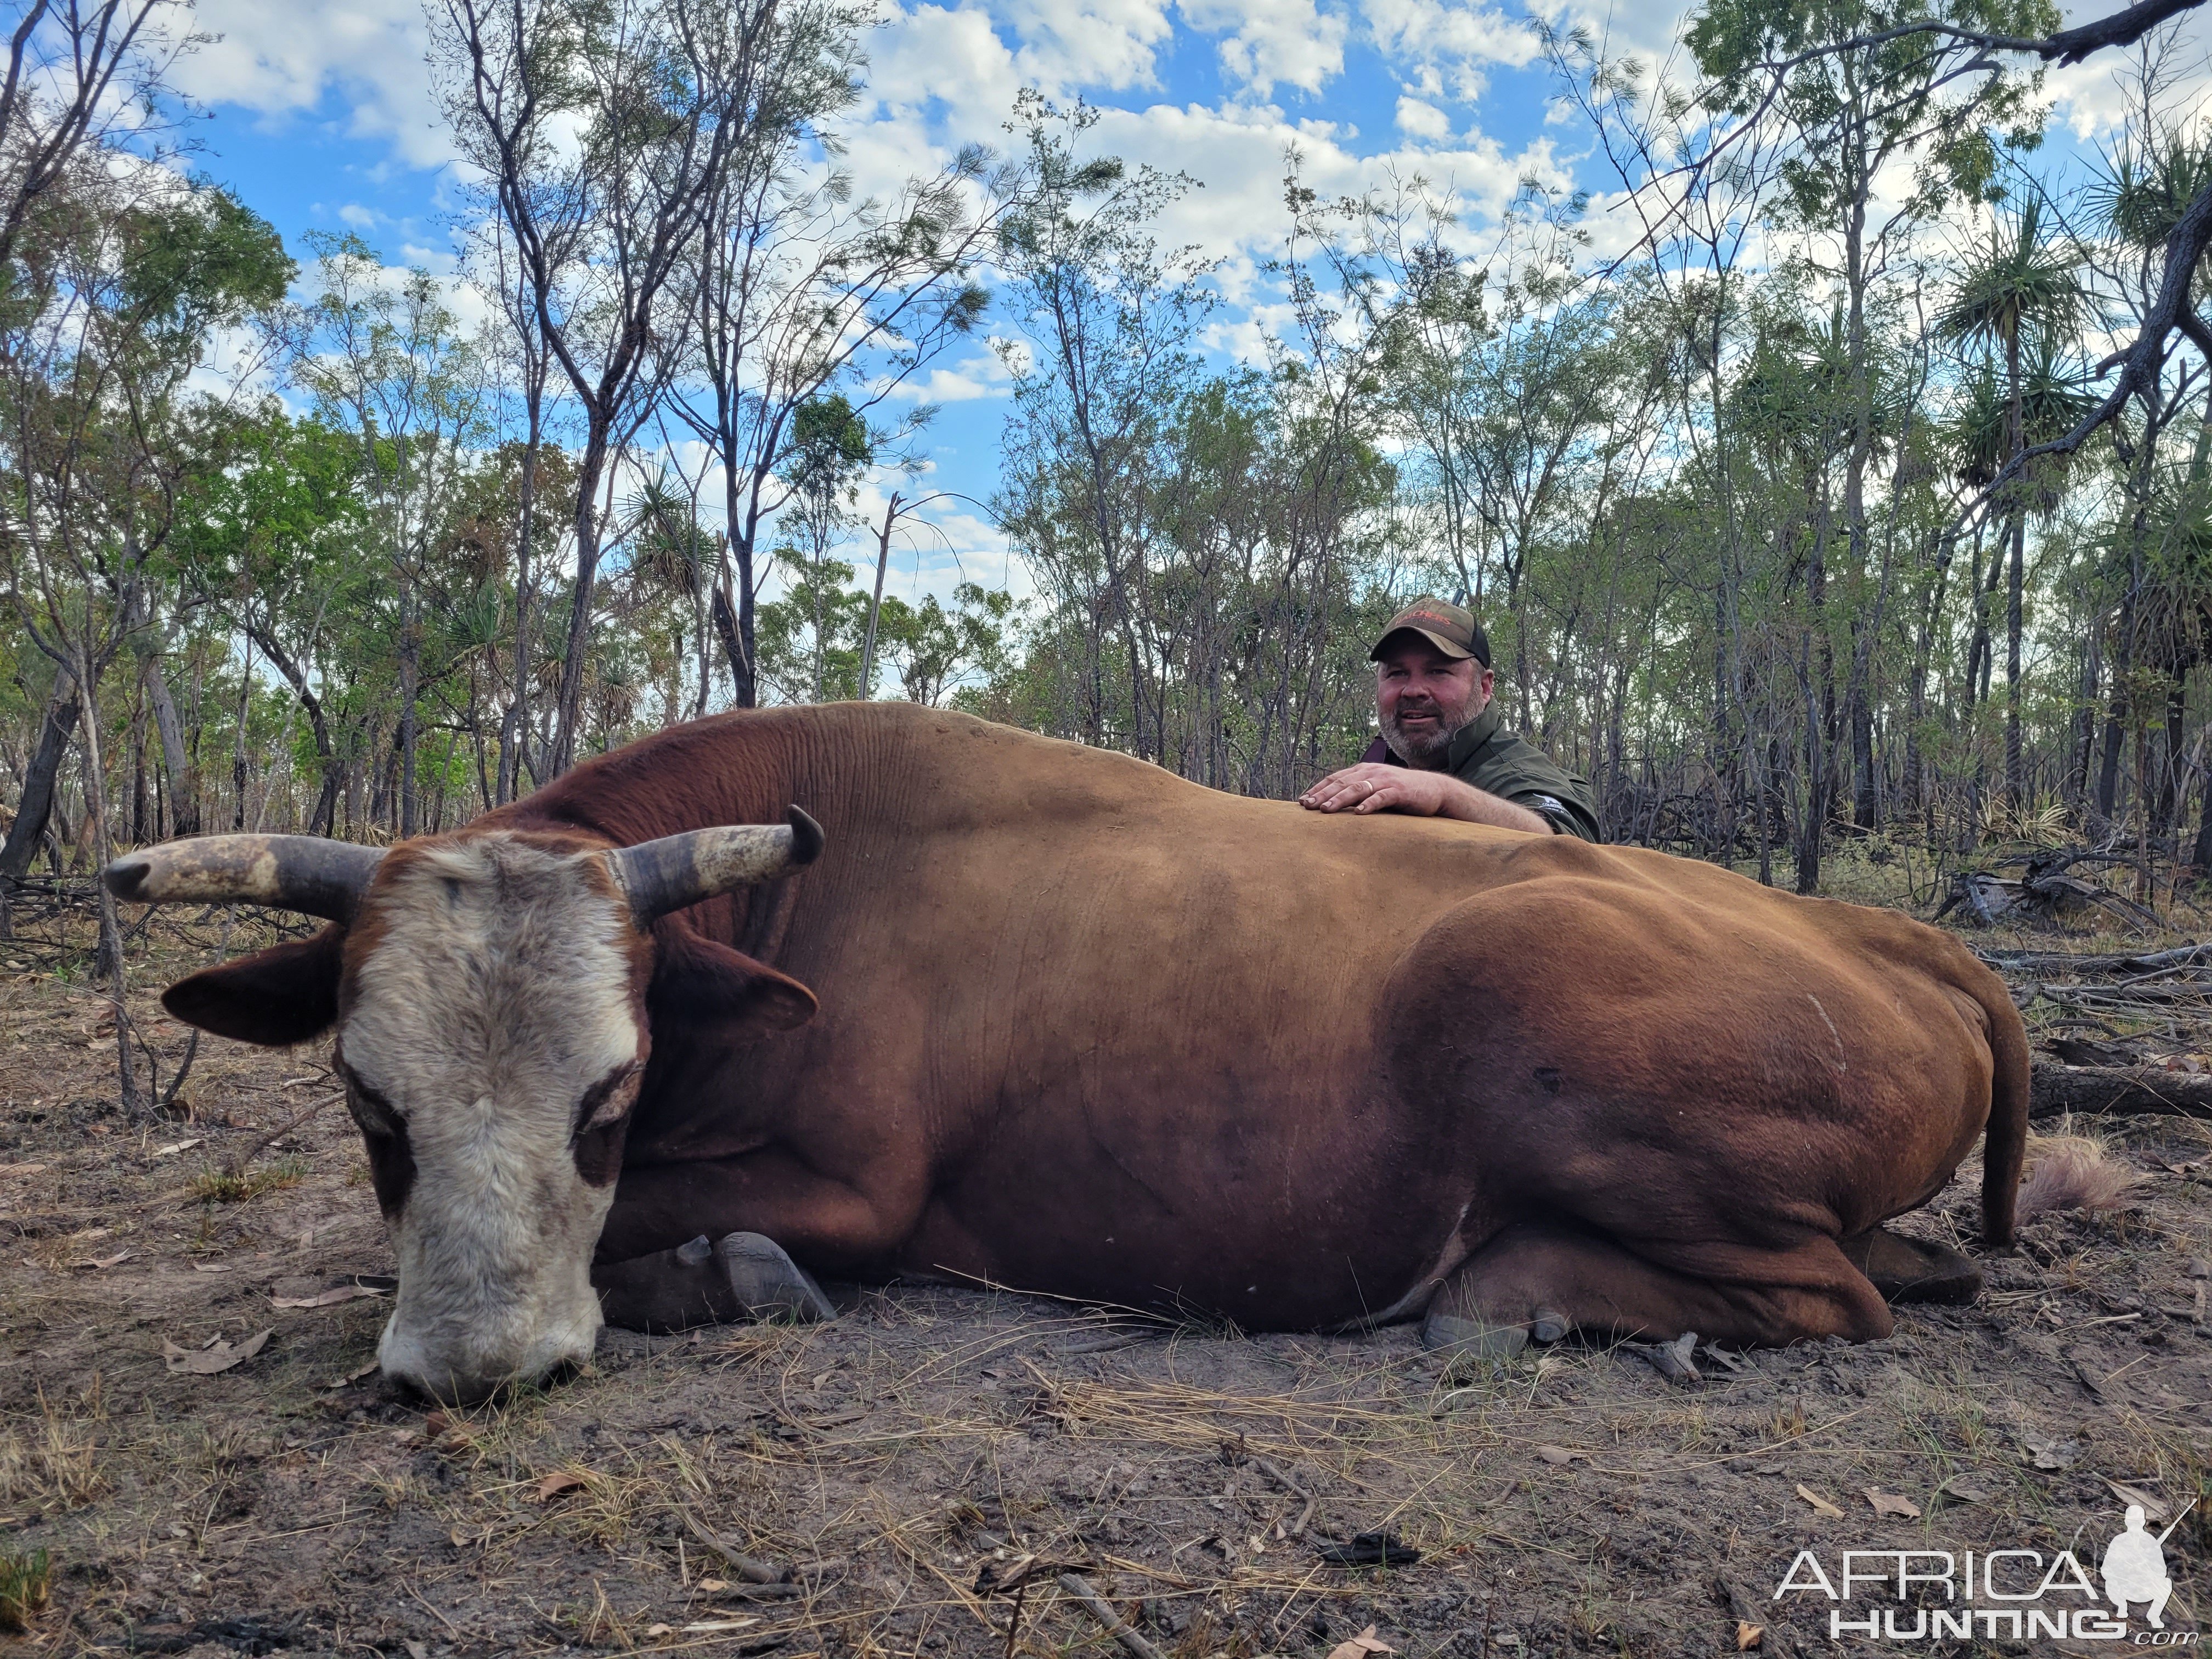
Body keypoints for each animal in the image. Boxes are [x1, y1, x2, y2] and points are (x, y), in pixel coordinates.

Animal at [112, 703, 2026, 1407]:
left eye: (612, 1094)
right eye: (370, 1103)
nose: (473, 1369)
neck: (804, 891)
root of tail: (1901, 939)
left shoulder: (865, 1192)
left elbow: (688, 1227)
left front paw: (724, 1275)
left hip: (1529, 995)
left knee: (1843, 1298)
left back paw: (1524, 1296)